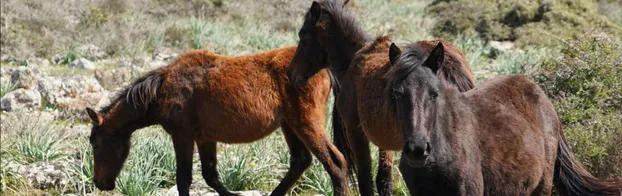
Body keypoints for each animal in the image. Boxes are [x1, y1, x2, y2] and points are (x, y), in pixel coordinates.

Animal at [86, 46, 352, 196]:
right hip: (290, 125)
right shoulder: (205, 139)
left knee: (335, 162)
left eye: (95, 143)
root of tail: (324, 67)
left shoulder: (182, 137)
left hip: (305, 122)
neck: (161, 88)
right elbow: (210, 176)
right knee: (300, 161)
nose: (100, 183)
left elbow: (184, 179)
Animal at [288, 0, 478, 195]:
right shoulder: (386, 139)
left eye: (303, 35)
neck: (353, 59)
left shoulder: (356, 131)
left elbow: (366, 178)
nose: (290, 73)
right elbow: (384, 179)